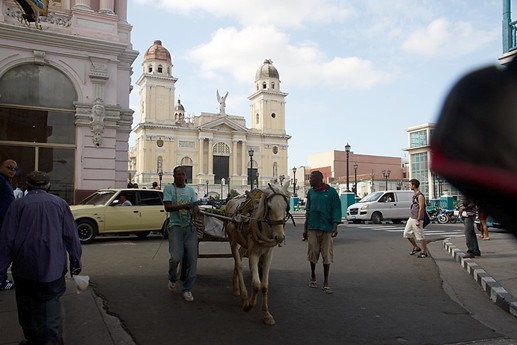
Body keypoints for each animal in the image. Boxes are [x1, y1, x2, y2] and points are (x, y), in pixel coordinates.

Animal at [224, 181, 290, 324]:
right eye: (269, 207)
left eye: (286, 206)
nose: (279, 237)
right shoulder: (253, 253)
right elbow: (256, 284)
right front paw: (249, 305)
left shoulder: (268, 254)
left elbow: (264, 285)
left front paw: (266, 314)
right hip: (232, 240)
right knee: (238, 264)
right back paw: (243, 297)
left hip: (244, 244)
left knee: (239, 260)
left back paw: (235, 288)